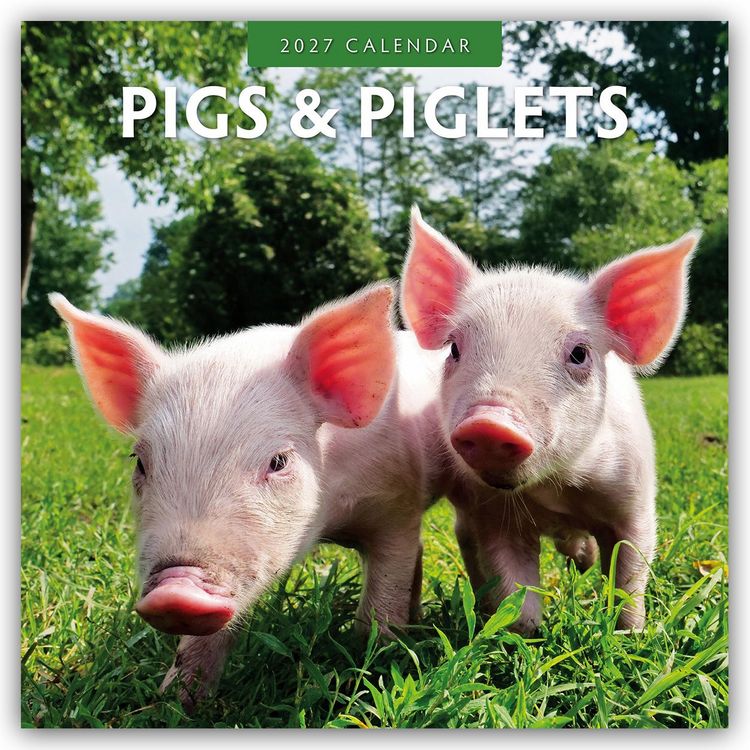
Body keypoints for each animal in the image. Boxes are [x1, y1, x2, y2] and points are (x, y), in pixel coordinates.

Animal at [50, 283, 443, 708]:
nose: (175, 590)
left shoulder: (397, 506)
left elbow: (382, 601)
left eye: (278, 460)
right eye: (140, 462)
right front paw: (177, 701)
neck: (329, 521)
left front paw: (379, 669)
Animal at [400, 207, 699, 634]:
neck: (556, 491)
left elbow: (629, 573)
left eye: (579, 353)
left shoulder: (635, 499)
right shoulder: (492, 515)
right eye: (454, 348)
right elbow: (515, 592)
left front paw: (629, 633)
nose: (489, 423)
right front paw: (525, 635)